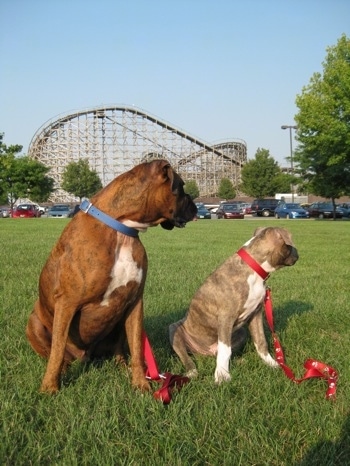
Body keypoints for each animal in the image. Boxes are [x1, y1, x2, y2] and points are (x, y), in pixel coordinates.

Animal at [25, 159, 197, 394]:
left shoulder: (134, 303)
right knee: (60, 355)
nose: (194, 203)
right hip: (33, 322)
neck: (121, 229)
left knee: (119, 351)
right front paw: (50, 387)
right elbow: (57, 351)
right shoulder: (67, 303)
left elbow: (137, 349)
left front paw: (141, 384)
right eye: (181, 187)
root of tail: (85, 357)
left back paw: (123, 368)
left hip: (119, 321)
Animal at [169, 226, 298, 382]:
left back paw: (240, 361)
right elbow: (225, 350)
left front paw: (272, 364)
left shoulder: (256, 314)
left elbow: (261, 341)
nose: (298, 253)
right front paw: (222, 376)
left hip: (241, 332)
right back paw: (192, 371)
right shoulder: (226, 317)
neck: (254, 269)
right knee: (186, 355)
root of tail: (204, 352)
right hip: (174, 331)